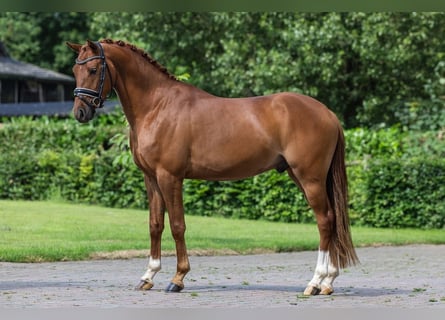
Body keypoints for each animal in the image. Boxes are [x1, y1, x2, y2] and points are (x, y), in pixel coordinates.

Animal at [65, 38, 358, 296]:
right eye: (75, 70)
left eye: (93, 69)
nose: (80, 113)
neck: (157, 106)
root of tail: (328, 113)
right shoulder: (151, 178)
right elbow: (155, 224)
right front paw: (148, 276)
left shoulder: (170, 177)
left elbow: (178, 225)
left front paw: (178, 278)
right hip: (304, 177)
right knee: (332, 219)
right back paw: (328, 282)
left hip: (310, 178)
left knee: (325, 221)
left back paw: (315, 282)